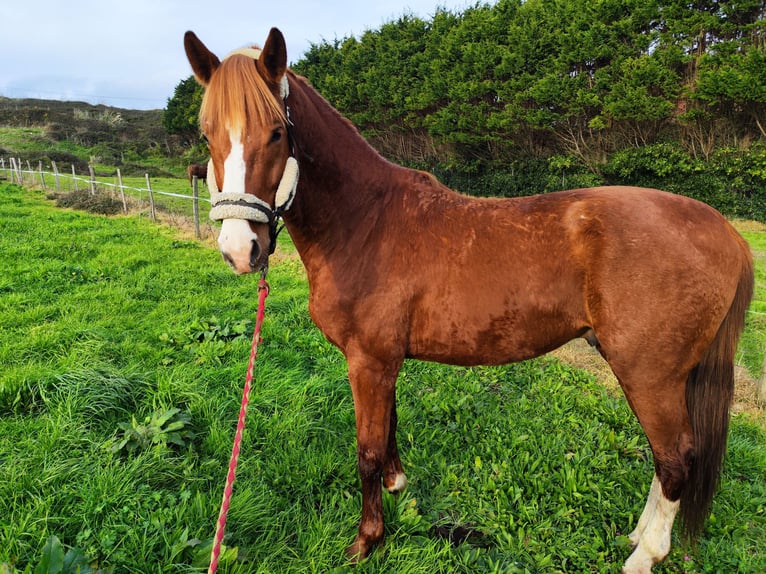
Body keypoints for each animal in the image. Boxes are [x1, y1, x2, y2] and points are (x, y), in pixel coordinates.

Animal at [184, 28, 756, 574]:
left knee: (675, 459)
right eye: (207, 134)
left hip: (649, 376)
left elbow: (366, 450)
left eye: (276, 132)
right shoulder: (384, 362)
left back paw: (644, 556)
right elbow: (389, 430)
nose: (240, 249)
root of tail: (726, 232)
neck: (366, 221)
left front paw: (367, 540)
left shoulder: (367, 361)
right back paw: (637, 537)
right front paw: (397, 486)